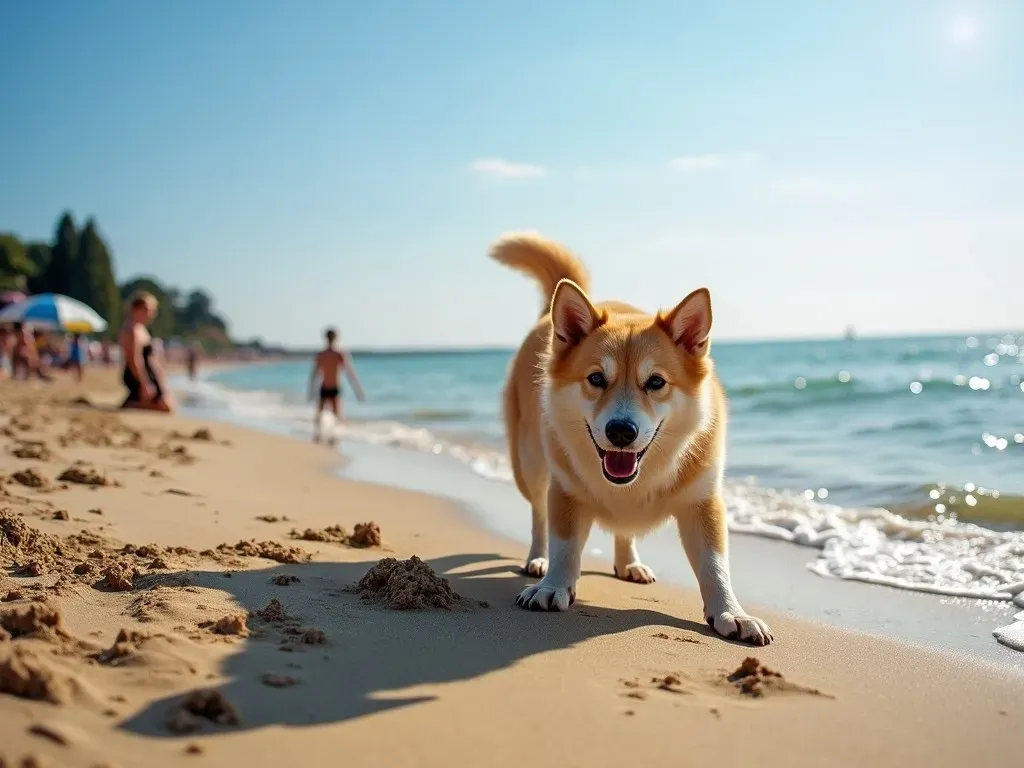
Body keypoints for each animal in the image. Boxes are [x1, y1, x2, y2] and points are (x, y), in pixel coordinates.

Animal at [491, 231, 770, 647]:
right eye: (596, 378)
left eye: (655, 382)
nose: (621, 431)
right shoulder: (566, 490)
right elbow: (564, 545)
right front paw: (553, 586)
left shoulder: (703, 502)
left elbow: (715, 565)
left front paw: (731, 613)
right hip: (529, 463)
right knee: (539, 515)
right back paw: (537, 559)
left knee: (624, 531)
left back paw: (630, 564)